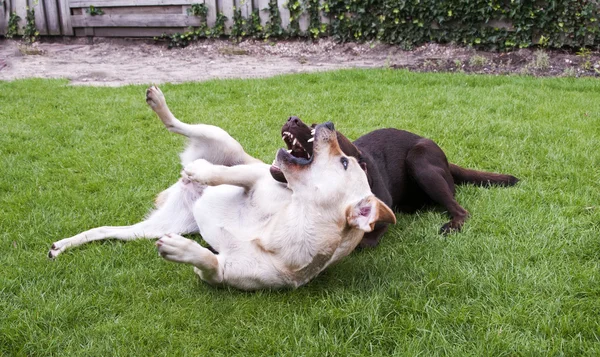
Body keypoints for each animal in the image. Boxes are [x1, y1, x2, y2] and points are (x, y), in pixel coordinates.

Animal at [49, 86, 396, 290]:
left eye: (344, 162)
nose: (328, 124)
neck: (287, 221)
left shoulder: (223, 273)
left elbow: (207, 262)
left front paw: (182, 250)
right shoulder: (258, 177)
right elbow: (229, 175)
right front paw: (202, 171)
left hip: (152, 228)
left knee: (105, 231)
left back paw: (63, 245)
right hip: (221, 137)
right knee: (178, 125)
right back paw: (162, 108)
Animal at [270, 117, 516, 248]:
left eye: (316, 129)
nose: (292, 119)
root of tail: (447, 160)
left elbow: (362, 241)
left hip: (419, 159)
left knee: (460, 210)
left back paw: (452, 225)